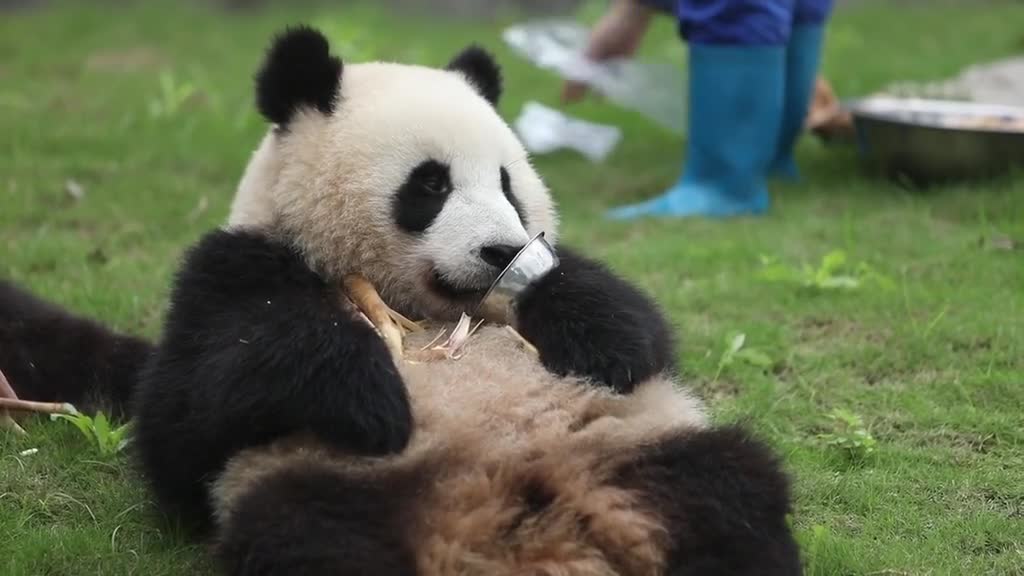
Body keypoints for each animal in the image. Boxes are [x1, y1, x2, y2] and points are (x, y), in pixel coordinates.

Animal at [0, 24, 798, 573]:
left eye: (507, 182)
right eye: (431, 184)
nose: (502, 251)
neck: (421, 305)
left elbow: (636, 330)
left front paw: (573, 309)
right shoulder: (236, 271)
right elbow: (183, 418)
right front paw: (373, 394)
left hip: (639, 446)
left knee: (732, 493)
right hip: (330, 491)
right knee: (321, 543)